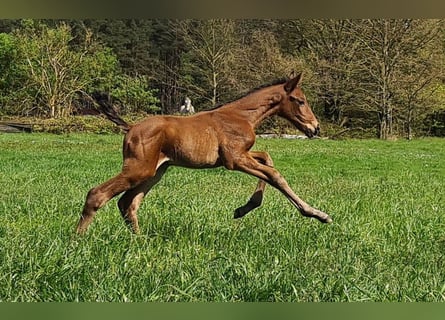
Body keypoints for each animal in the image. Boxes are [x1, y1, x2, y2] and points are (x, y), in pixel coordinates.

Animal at [76, 73, 332, 235]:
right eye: (300, 101)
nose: (315, 128)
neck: (242, 116)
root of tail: (130, 127)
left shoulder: (243, 154)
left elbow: (267, 159)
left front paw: (244, 208)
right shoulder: (234, 159)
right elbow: (275, 175)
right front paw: (318, 214)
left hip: (155, 172)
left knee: (128, 203)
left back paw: (140, 241)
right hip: (139, 169)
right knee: (97, 194)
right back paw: (77, 241)